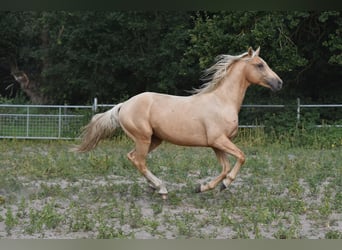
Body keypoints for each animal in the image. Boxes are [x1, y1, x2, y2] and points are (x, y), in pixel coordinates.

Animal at [75, 47, 284, 199]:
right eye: (259, 65)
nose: (279, 83)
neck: (222, 101)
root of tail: (124, 105)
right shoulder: (219, 140)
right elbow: (241, 157)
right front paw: (223, 185)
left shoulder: (216, 144)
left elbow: (225, 167)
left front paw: (203, 187)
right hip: (143, 138)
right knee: (139, 160)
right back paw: (161, 188)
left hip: (154, 139)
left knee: (133, 157)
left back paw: (153, 186)